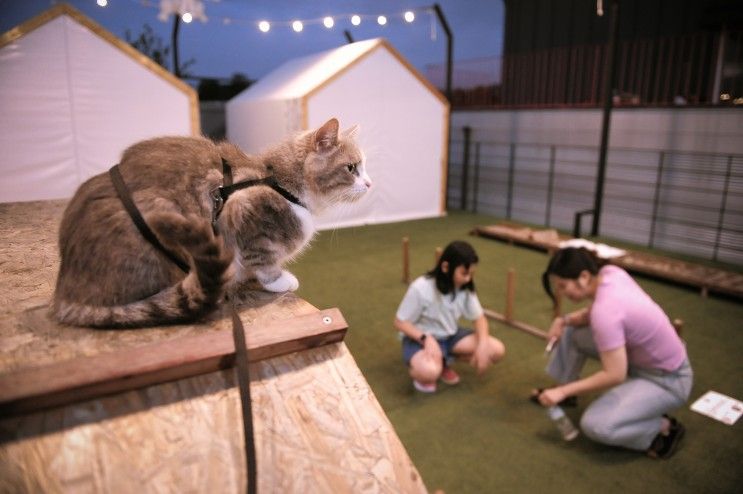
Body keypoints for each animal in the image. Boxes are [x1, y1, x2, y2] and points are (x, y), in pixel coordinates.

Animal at [50, 118, 370, 328]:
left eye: (362, 168)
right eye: (351, 168)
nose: (369, 183)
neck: (280, 182)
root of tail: (64, 292)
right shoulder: (245, 215)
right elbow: (263, 259)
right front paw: (278, 280)